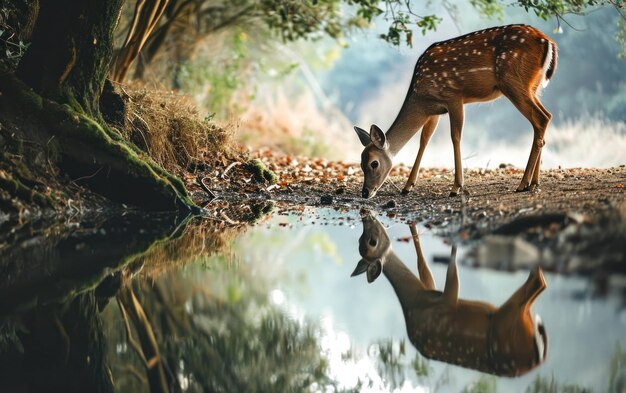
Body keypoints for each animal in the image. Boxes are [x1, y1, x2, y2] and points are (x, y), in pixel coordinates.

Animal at [352, 213, 544, 376]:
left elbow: (423, 265)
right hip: (507, 322)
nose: (366, 214)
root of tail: (537, 360)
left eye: (368, 241)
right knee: (538, 283)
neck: (417, 302)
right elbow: (448, 270)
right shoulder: (447, 302)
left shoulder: (435, 292)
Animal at [354, 23, 560, 199]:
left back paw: (523, 183)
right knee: (544, 118)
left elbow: (455, 136)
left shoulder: (453, 96)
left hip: (513, 81)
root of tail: (548, 42)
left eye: (374, 163)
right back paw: (534, 183)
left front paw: (456, 188)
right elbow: (424, 140)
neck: (420, 98)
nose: (365, 193)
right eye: (360, 163)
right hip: (534, 86)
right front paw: (407, 187)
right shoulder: (435, 110)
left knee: (541, 118)